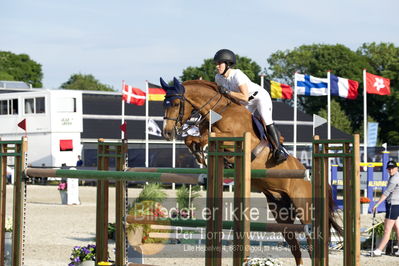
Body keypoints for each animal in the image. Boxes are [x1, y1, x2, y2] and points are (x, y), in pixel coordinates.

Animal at [161, 77, 342, 266]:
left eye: (175, 103)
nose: (167, 133)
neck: (220, 111)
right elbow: (191, 139)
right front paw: (199, 154)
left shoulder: (235, 139)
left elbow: (206, 136)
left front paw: (200, 151)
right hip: (281, 213)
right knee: (295, 247)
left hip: (304, 209)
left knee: (311, 242)